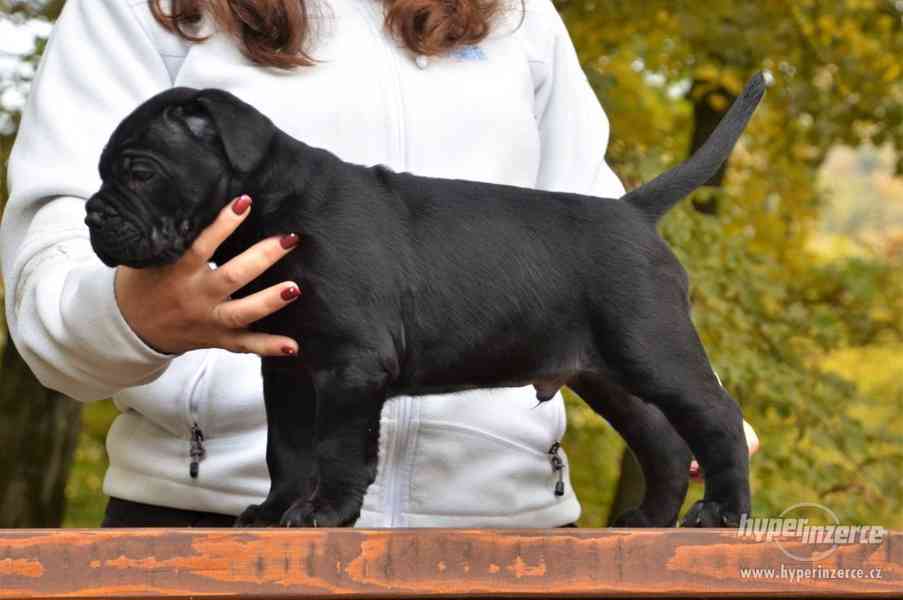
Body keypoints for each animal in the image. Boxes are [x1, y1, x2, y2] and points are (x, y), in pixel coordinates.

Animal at [86, 72, 764, 528]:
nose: (92, 214)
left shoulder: (350, 365)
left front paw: (324, 513)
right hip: (609, 376)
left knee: (718, 417)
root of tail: (634, 211)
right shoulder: (287, 367)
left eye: (140, 171)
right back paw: (649, 522)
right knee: (666, 442)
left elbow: (337, 450)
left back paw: (720, 513)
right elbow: (288, 449)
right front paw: (277, 509)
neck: (276, 203)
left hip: (652, 350)